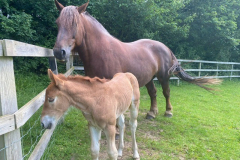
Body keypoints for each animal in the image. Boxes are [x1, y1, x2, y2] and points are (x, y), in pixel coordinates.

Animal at [52, 0, 221, 118]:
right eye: (58, 23)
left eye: (75, 23)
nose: (59, 52)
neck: (101, 52)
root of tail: (165, 48)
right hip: (149, 78)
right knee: (153, 93)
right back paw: (152, 114)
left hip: (163, 77)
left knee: (166, 92)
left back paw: (168, 112)